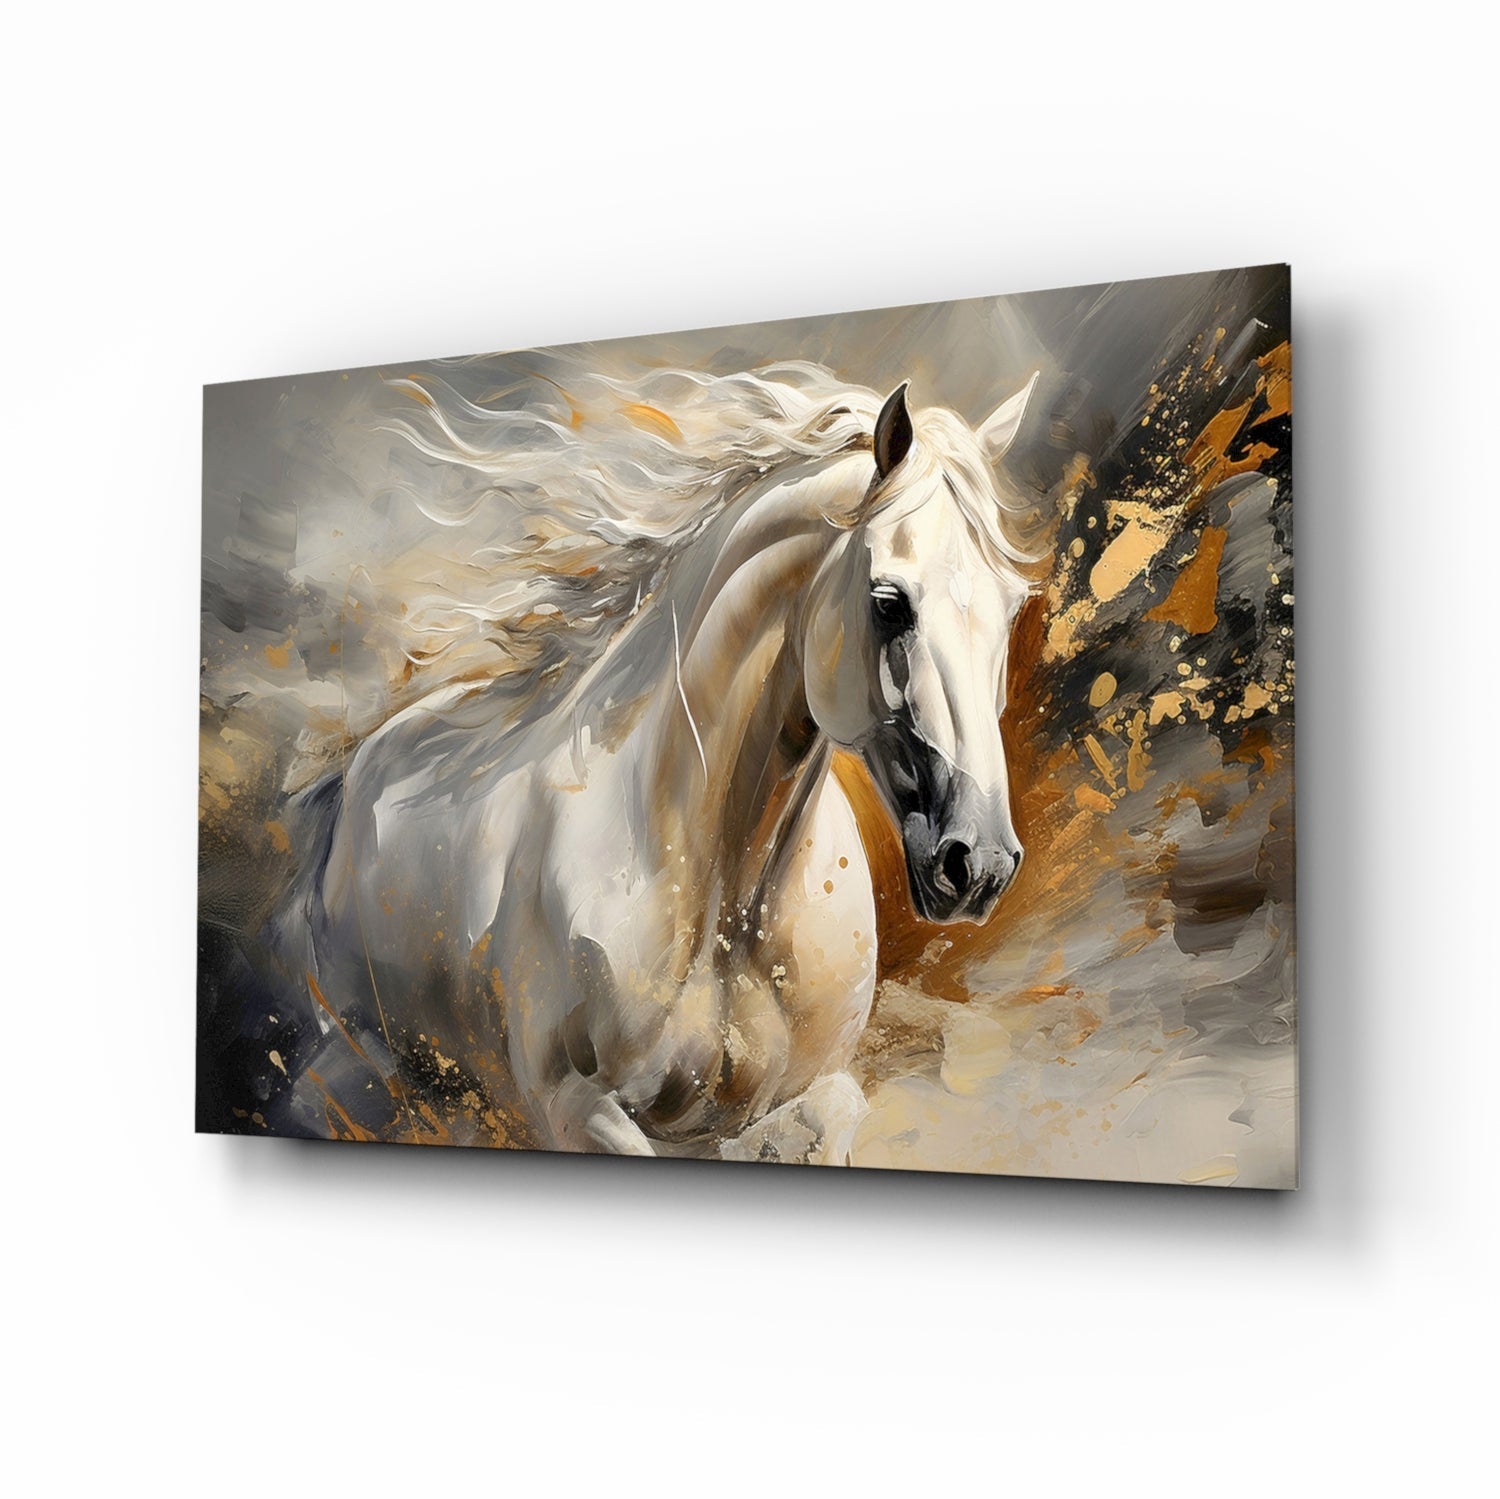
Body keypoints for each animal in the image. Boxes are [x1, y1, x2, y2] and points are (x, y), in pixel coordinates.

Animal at [273, 365, 1041, 1160]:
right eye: (890, 602)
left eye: (1014, 605)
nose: (980, 863)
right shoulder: (574, 1106)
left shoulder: (807, 1095)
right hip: (366, 1063)